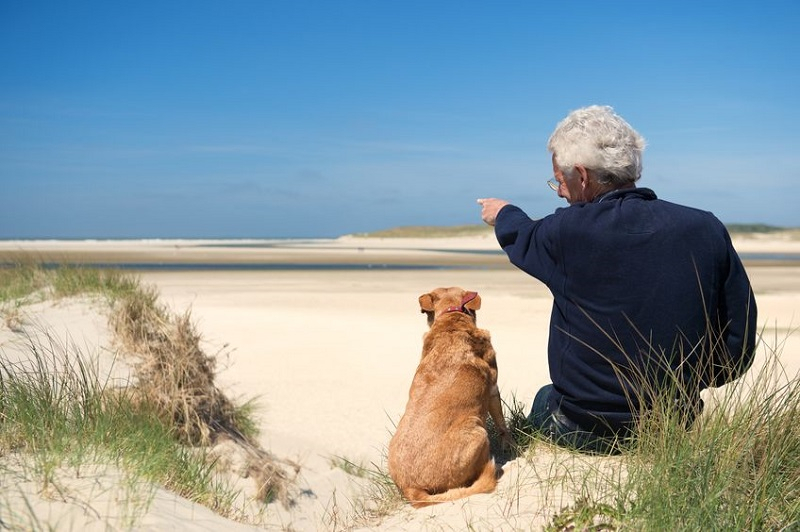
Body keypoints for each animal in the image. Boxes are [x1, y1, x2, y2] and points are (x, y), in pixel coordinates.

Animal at [388, 286, 512, 508]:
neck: (451, 317)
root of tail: (410, 489)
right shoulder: (493, 389)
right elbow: (502, 425)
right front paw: (510, 446)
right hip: (477, 431)